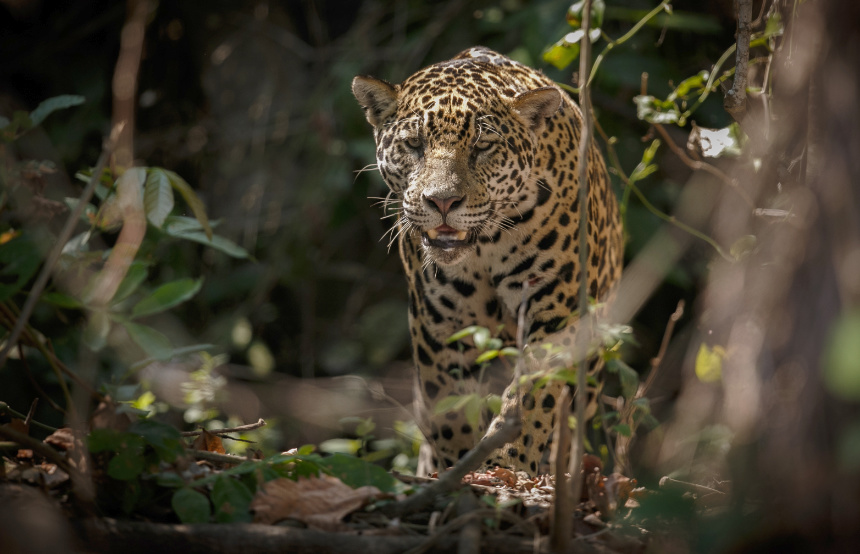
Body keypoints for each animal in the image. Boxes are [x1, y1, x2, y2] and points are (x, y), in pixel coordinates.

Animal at [352, 47, 623, 476]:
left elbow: (532, 394)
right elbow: (450, 408)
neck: (486, 246)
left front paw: (507, 462)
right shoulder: (438, 324)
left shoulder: (557, 310)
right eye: (414, 144)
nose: (442, 201)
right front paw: (460, 469)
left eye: (483, 147)